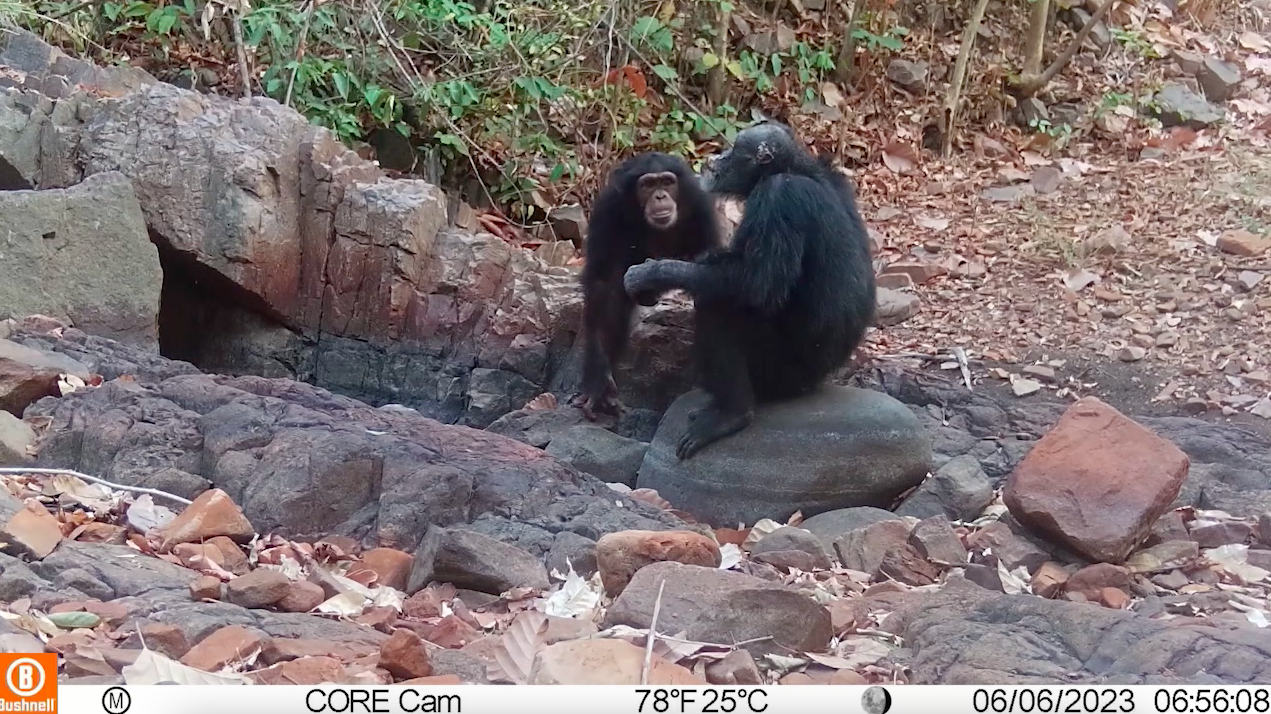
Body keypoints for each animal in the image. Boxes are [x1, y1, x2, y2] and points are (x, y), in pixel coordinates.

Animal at [569, 149, 721, 416]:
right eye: (648, 185)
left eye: (667, 182)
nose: (660, 196)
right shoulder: (608, 209)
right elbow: (603, 286)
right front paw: (599, 382)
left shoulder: (702, 206)